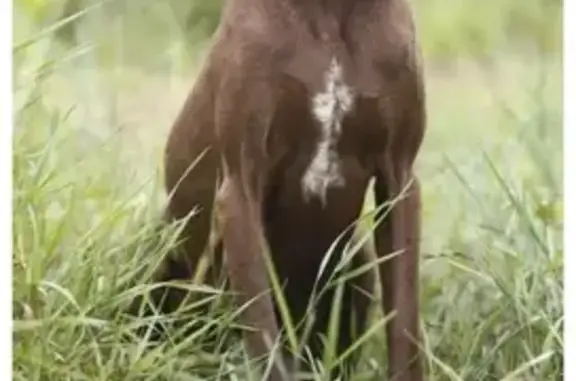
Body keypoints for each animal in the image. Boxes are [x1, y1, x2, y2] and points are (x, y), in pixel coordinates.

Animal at [155, 0, 426, 380]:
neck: (329, 13)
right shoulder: (240, 190)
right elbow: (263, 332)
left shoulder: (400, 182)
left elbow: (404, 325)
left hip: (359, 261)